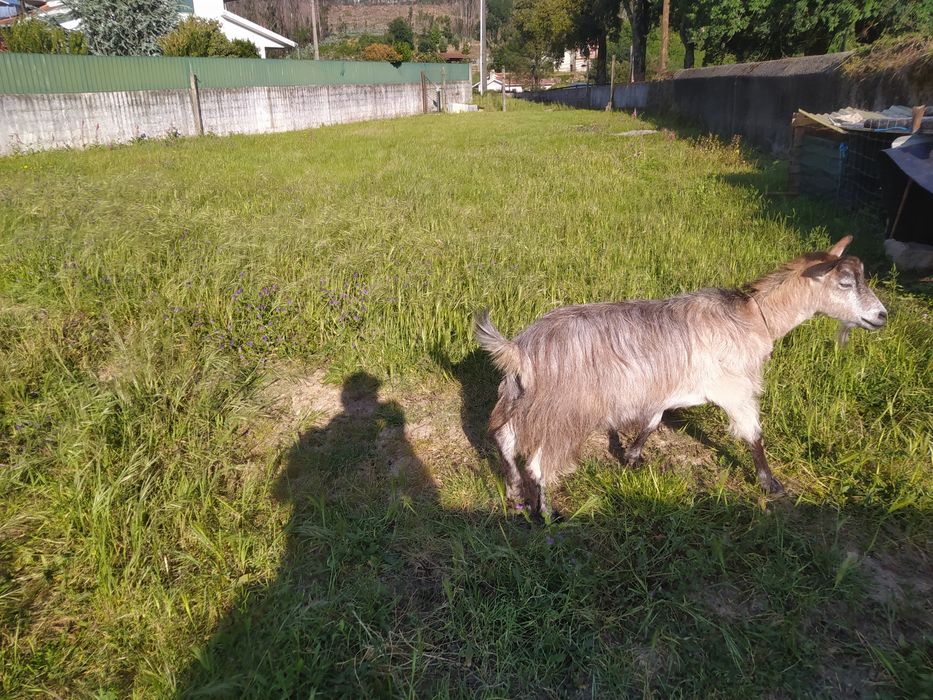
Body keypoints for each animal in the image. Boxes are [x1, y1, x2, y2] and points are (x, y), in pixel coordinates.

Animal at [475, 236, 888, 516]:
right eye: (845, 283)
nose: (882, 315)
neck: (753, 316)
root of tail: (520, 350)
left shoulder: (667, 387)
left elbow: (653, 421)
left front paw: (632, 457)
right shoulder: (735, 388)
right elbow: (753, 435)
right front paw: (772, 484)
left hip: (519, 399)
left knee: (505, 441)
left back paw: (514, 493)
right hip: (564, 412)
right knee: (537, 462)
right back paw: (548, 513)